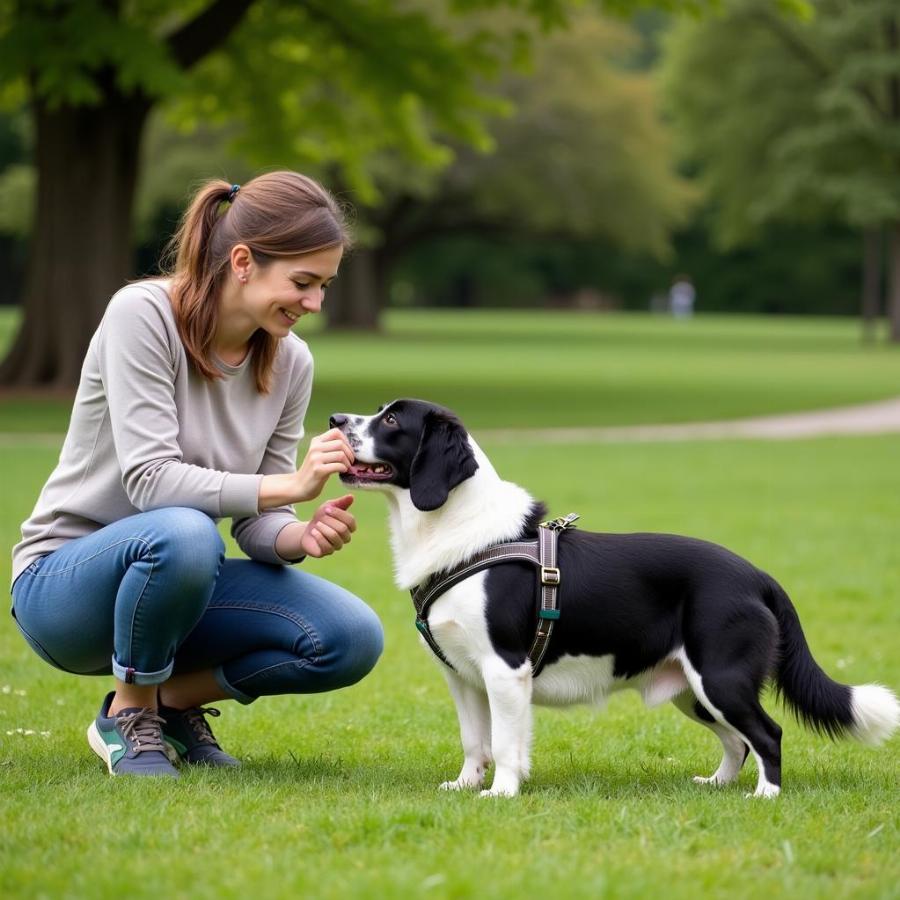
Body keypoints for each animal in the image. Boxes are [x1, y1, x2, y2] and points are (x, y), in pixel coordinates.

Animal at [330, 398, 900, 800]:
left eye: (392, 420)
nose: (334, 418)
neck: (460, 531)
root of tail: (756, 574)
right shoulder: (462, 675)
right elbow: (476, 741)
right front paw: (467, 786)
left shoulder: (505, 670)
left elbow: (507, 744)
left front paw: (502, 793)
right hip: (693, 690)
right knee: (736, 741)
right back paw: (717, 786)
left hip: (721, 677)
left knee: (767, 733)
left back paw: (766, 795)